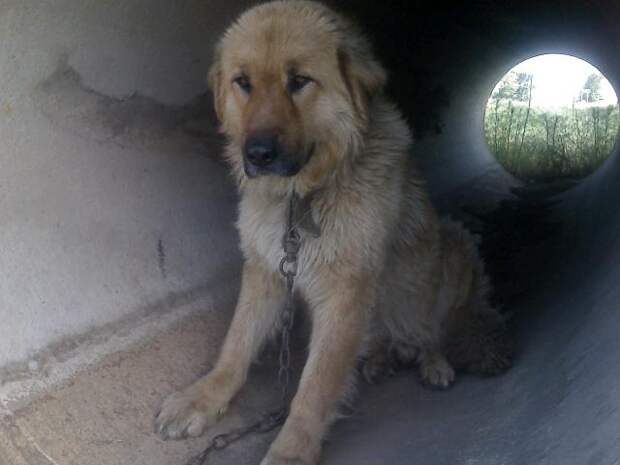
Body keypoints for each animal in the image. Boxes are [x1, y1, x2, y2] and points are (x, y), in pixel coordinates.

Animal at [155, 2, 513, 463]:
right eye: (243, 83)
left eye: (299, 81)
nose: (258, 154)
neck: (302, 197)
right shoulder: (266, 270)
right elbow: (235, 345)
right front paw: (201, 398)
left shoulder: (345, 291)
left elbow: (315, 386)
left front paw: (291, 450)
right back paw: (379, 358)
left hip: (454, 245)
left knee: (435, 329)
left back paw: (433, 362)